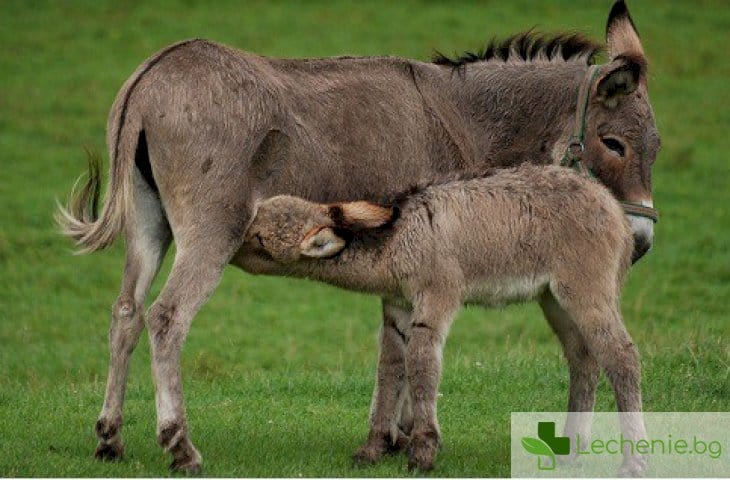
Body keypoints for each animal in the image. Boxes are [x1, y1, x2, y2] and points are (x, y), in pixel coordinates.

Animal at [242, 164, 644, 472]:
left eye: (259, 239)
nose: (232, 243)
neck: (399, 239)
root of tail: (611, 204)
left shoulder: (436, 297)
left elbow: (421, 364)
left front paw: (423, 452)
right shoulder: (397, 307)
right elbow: (390, 368)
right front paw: (372, 449)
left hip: (586, 289)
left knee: (621, 357)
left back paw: (633, 462)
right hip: (554, 300)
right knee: (584, 358)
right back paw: (570, 451)